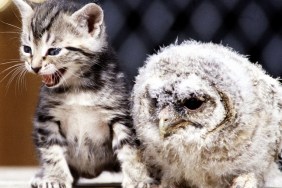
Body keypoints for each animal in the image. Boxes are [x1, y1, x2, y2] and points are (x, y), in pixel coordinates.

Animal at [12, 0, 152, 187]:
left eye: (54, 51)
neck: (77, 87)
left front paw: (138, 178)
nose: (34, 67)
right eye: (27, 49)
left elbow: (130, 149)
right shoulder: (46, 118)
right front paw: (55, 177)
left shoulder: (121, 114)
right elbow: (51, 151)